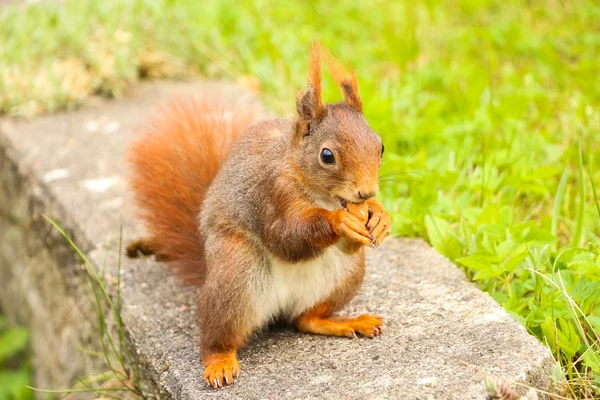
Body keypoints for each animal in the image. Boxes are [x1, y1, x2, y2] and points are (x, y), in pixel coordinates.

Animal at [125, 43, 394, 388]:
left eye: (381, 146)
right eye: (327, 155)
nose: (366, 192)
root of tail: (278, 309)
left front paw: (381, 216)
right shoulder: (270, 194)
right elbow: (286, 237)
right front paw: (339, 221)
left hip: (345, 276)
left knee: (305, 320)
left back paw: (346, 322)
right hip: (235, 276)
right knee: (217, 335)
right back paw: (219, 361)